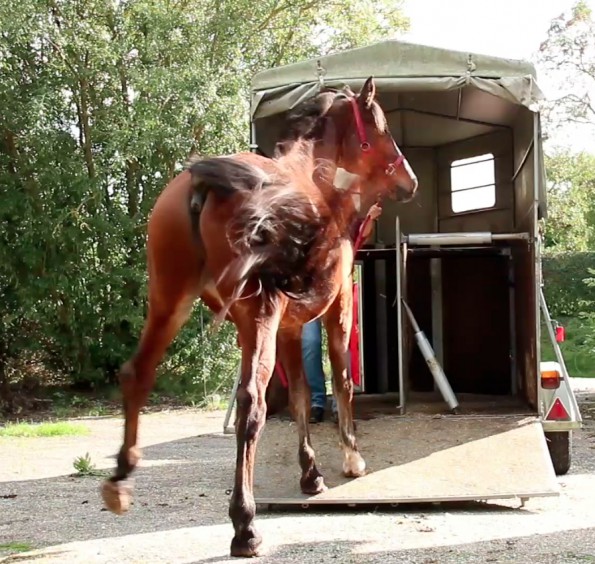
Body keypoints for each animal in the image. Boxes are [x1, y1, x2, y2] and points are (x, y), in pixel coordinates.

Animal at [101, 77, 420, 556]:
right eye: (381, 127)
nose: (409, 181)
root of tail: (203, 186)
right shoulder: (336, 309)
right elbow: (341, 380)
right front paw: (351, 458)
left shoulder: (286, 327)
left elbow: (303, 394)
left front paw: (311, 474)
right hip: (256, 317)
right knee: (252, 402)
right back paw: (245, 525)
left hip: (169, 302)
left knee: (136, 373)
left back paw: (120, 483)